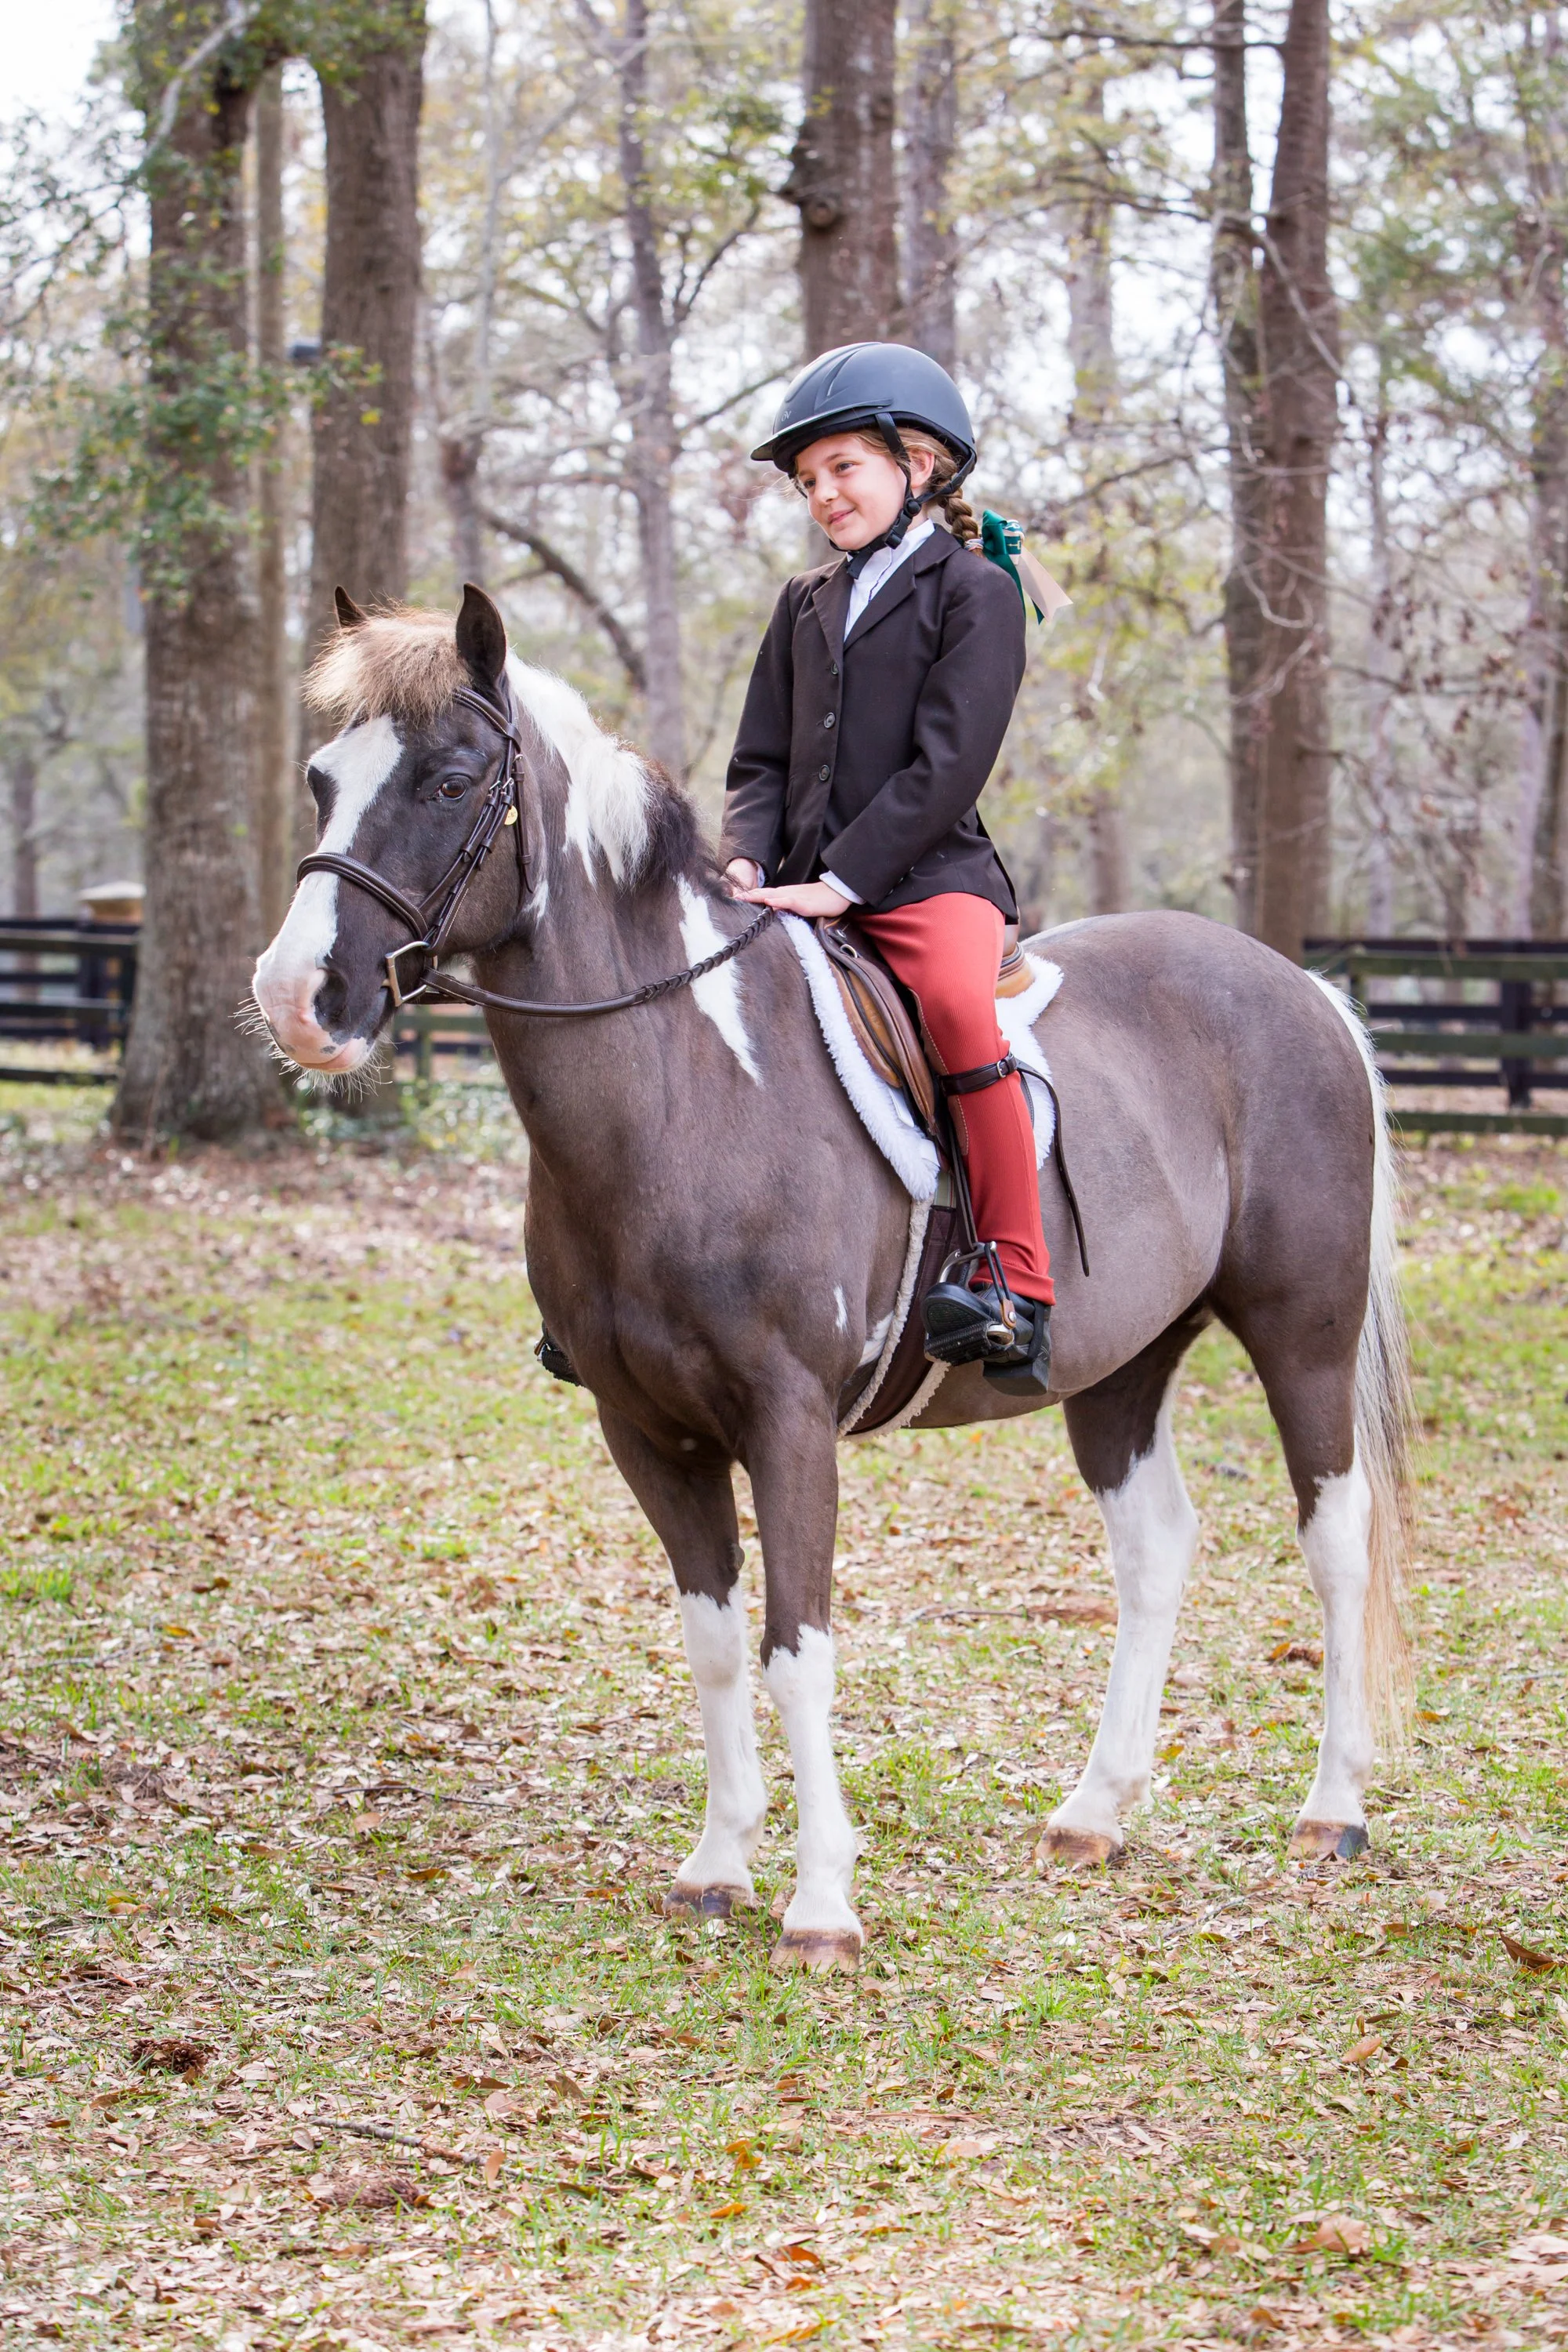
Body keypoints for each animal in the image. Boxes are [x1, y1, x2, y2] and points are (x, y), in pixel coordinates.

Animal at [251, 584, 1413, 1975]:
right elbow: (711, 1644)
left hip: (1301, 1330)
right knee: (1155, 1549)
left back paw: (1333, 1810)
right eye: (323, 778)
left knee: (1334, 1538)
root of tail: (1304, 989)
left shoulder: (790, 1422)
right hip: (1120, 1365)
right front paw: (716, 1866)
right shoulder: (647, 1432)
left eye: (450, 778)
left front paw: (819, 1905)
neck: (688, 1092)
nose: (298, 998)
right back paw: (1094, 1813)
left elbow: (797, 1649)